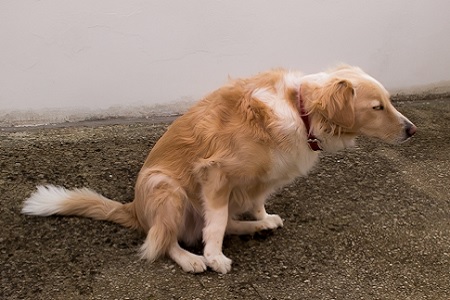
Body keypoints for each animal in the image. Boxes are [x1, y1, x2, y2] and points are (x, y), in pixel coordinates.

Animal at [22, 65, 414, 274]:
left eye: (389, 101)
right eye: (377, 107)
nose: (413, 130)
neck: (300, 110)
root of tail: (134, 209)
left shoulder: (262, 180)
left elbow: (242, 210)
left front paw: (261, 217)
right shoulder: (215, 174)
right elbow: (215, 223)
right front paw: (213, 257)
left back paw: (256, 228)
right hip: (166, 188)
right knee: (162, 240)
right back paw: (190, 259)